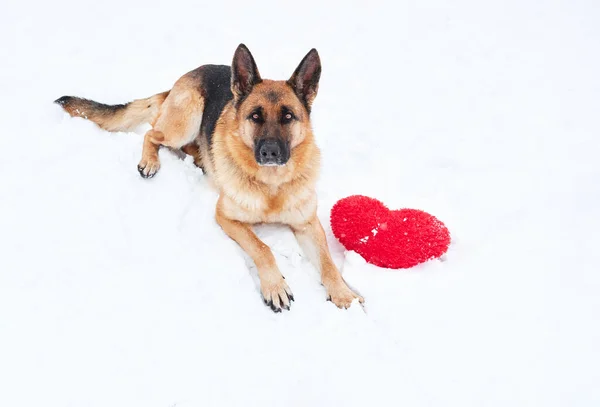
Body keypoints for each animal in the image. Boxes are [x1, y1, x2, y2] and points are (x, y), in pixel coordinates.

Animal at [56, 44, 364, 312]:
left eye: (288, 116)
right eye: (255, 116)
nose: (270, 152)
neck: (271, 186)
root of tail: (186, 76)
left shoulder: (307, 224)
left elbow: (327, 262)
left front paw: (343, 293)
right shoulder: (226, 217)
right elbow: (263, 247)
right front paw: (275, 287)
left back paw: (200, 157)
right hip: (185, 120)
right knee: (152, 134)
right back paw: (151, 161)